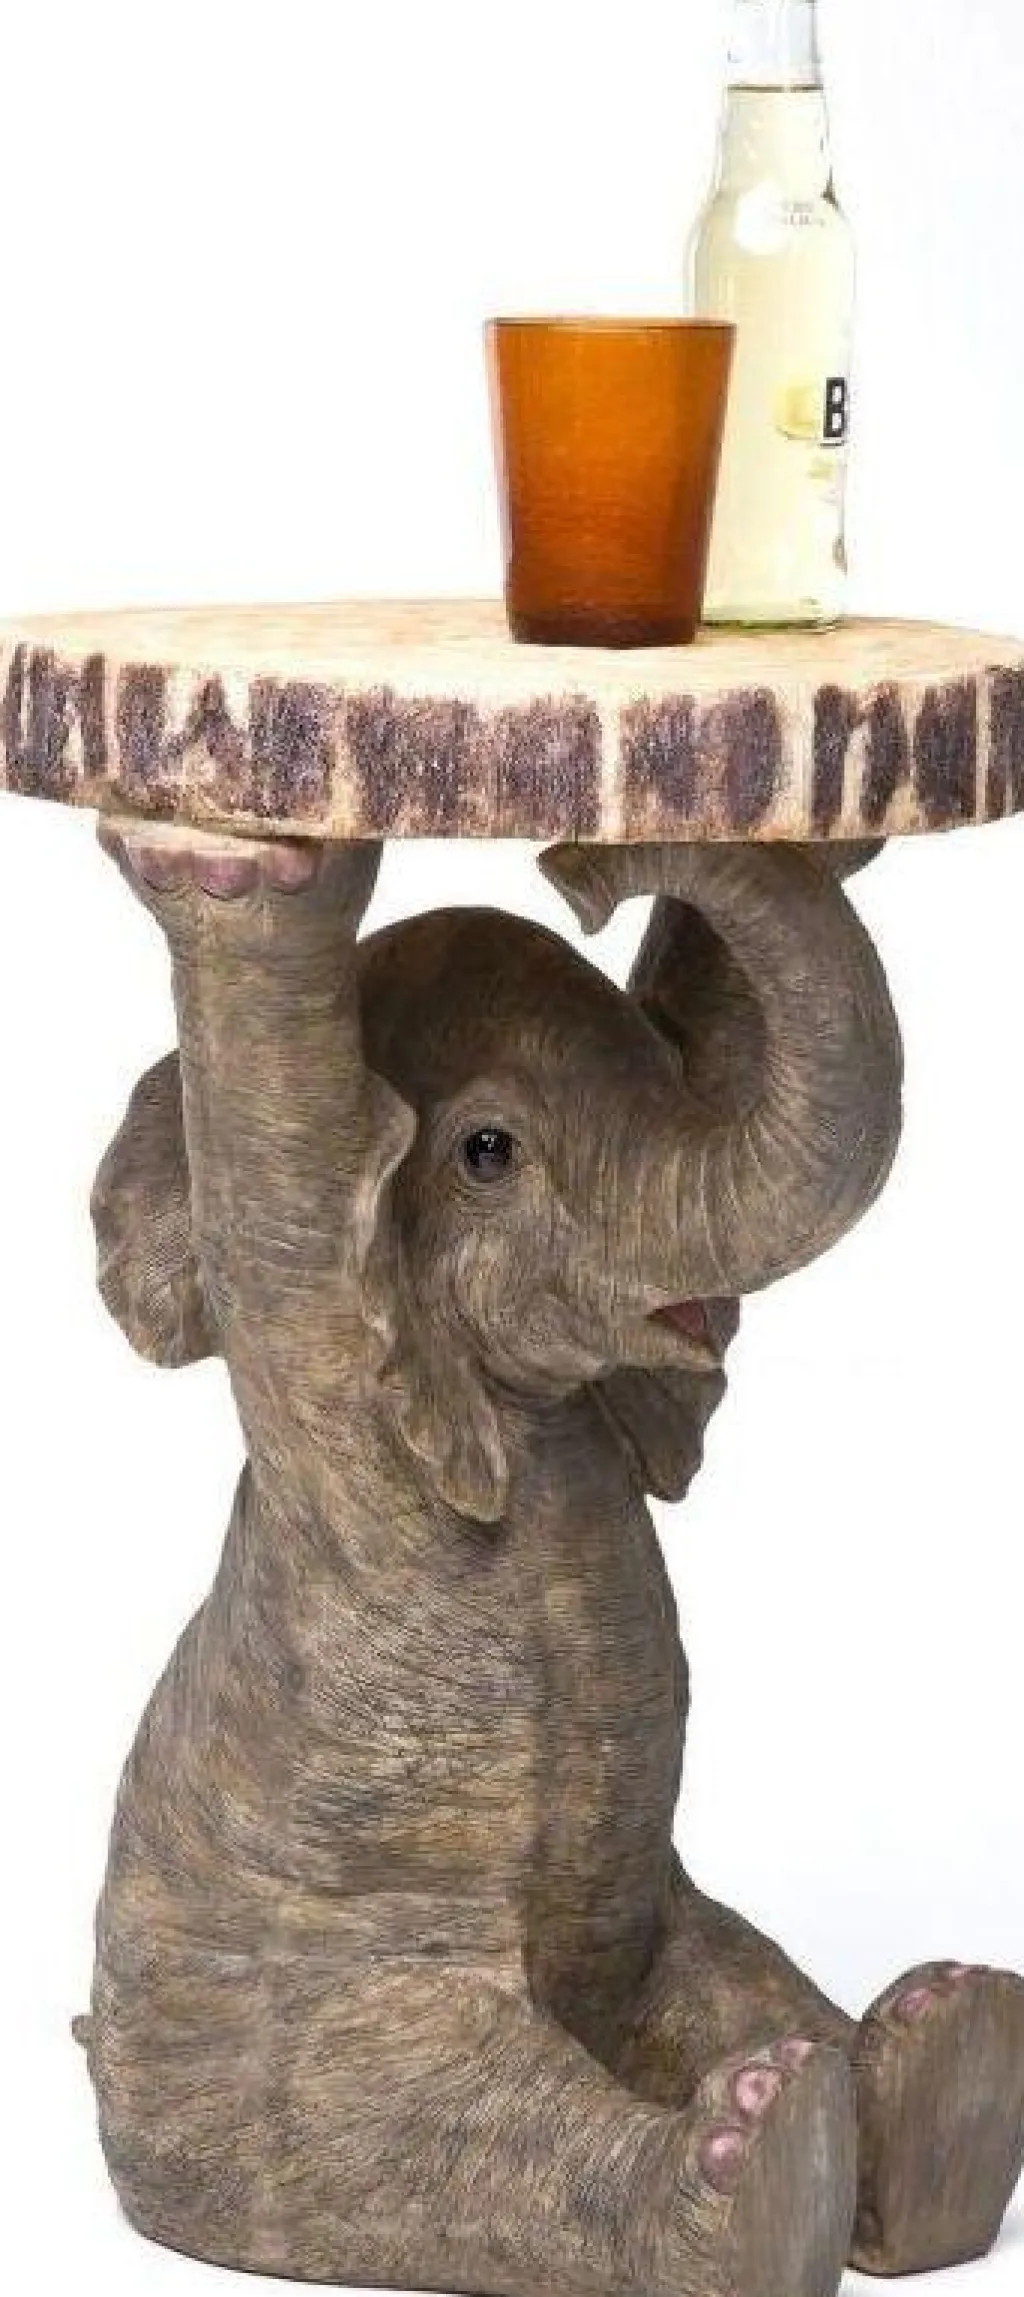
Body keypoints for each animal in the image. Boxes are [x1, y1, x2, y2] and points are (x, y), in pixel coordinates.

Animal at [75, 818, 1024, 2297]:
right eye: (486, 1150)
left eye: (666, 1071)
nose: (583, 869)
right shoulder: (335, 1366)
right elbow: (286, 1210)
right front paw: (248, 865)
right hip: (285, 2065)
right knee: (458, 2128)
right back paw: (762, 2152)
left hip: (658, 1935)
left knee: (736, 1983)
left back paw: (932, 2054)